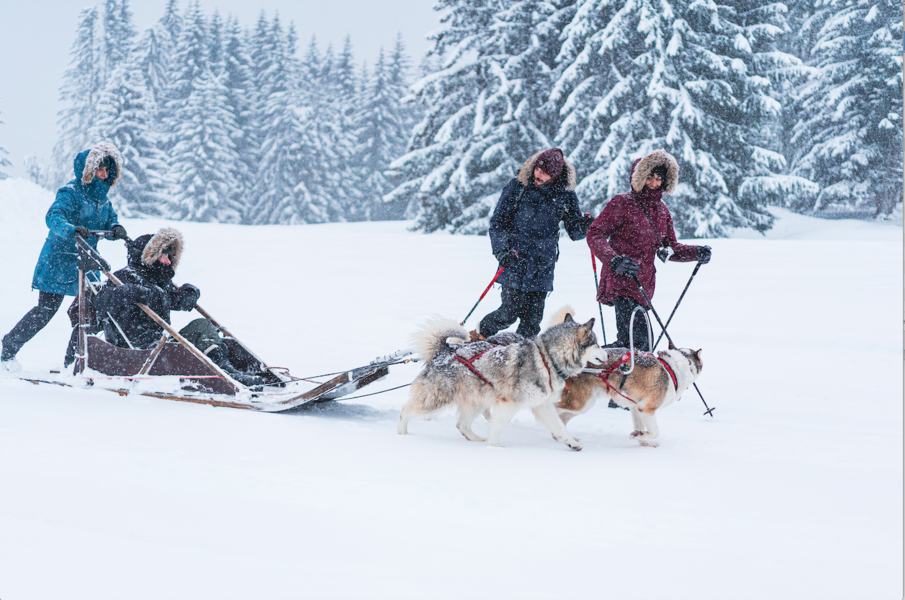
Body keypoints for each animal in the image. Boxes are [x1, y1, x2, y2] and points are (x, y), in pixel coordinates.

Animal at [398, 310, 604, 450]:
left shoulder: (542, 405)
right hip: (437, 398)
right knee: (406, 410)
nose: (607, 354)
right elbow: (497, 428)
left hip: (476, 401)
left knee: (461, 425)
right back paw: (402, 434)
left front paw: (571, 442)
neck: (549, 358)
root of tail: (444, 350)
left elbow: (559, 426)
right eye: (596, 343)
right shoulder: (509, 404)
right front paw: (495, 449)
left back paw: (475, 439)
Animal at [556, 338, 700, 446]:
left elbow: (640, 427)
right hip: (579, 402)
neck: (672, 368)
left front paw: (642, 441)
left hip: (583, 404)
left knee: (562, 419)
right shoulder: (647, 409)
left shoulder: (637, 407)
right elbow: (655, 432)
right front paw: (642, 436)